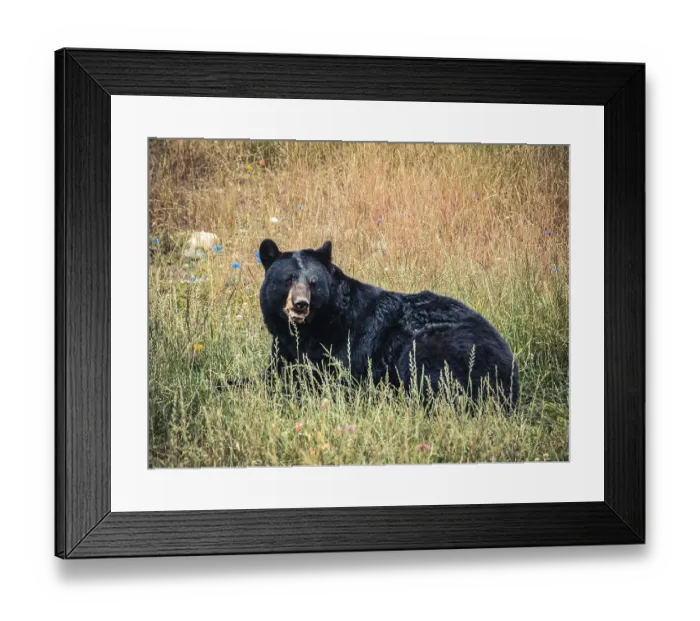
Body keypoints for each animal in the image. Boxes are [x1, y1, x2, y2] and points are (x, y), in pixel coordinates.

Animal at [258, 239, 519, 409]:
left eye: (313, 283)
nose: (301, 304)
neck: (310, 328)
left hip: (443, 344)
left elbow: (327, 377)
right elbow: (276, 372)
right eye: (289, 279)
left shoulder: (346, 343)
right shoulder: (283, 347)